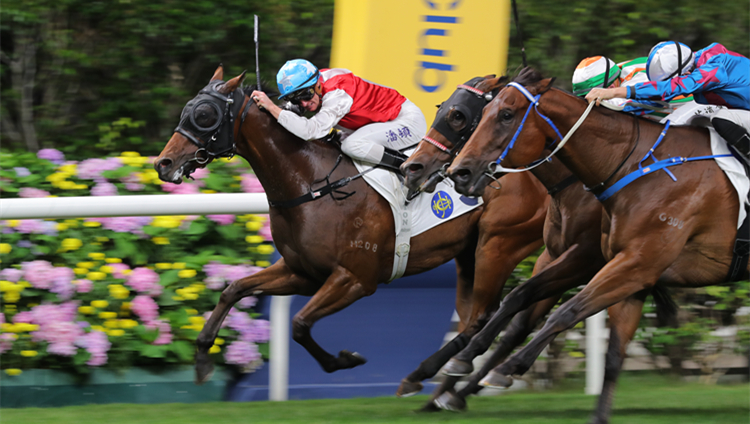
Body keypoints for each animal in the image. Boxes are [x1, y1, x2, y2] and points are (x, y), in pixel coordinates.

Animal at [153, 66, 549, 392]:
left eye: (205, 115)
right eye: (189, 108)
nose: (163, 163)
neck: (312, 184)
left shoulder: (356, 279)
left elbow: (299, 323)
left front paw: (343, 360)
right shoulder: (301, 272)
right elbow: (233, 290)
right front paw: (202, 357)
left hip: (499, 245)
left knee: (486, 312)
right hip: (469, 253)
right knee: (472, 316)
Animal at [446, 67, 745, 423]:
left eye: (505, 114)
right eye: (483, 114)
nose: (459, 172)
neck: (638, 165)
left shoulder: (628, 263)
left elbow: (566, 312)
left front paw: (505, 369)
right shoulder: (622, 270)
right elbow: (525, 304)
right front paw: (462, 361)